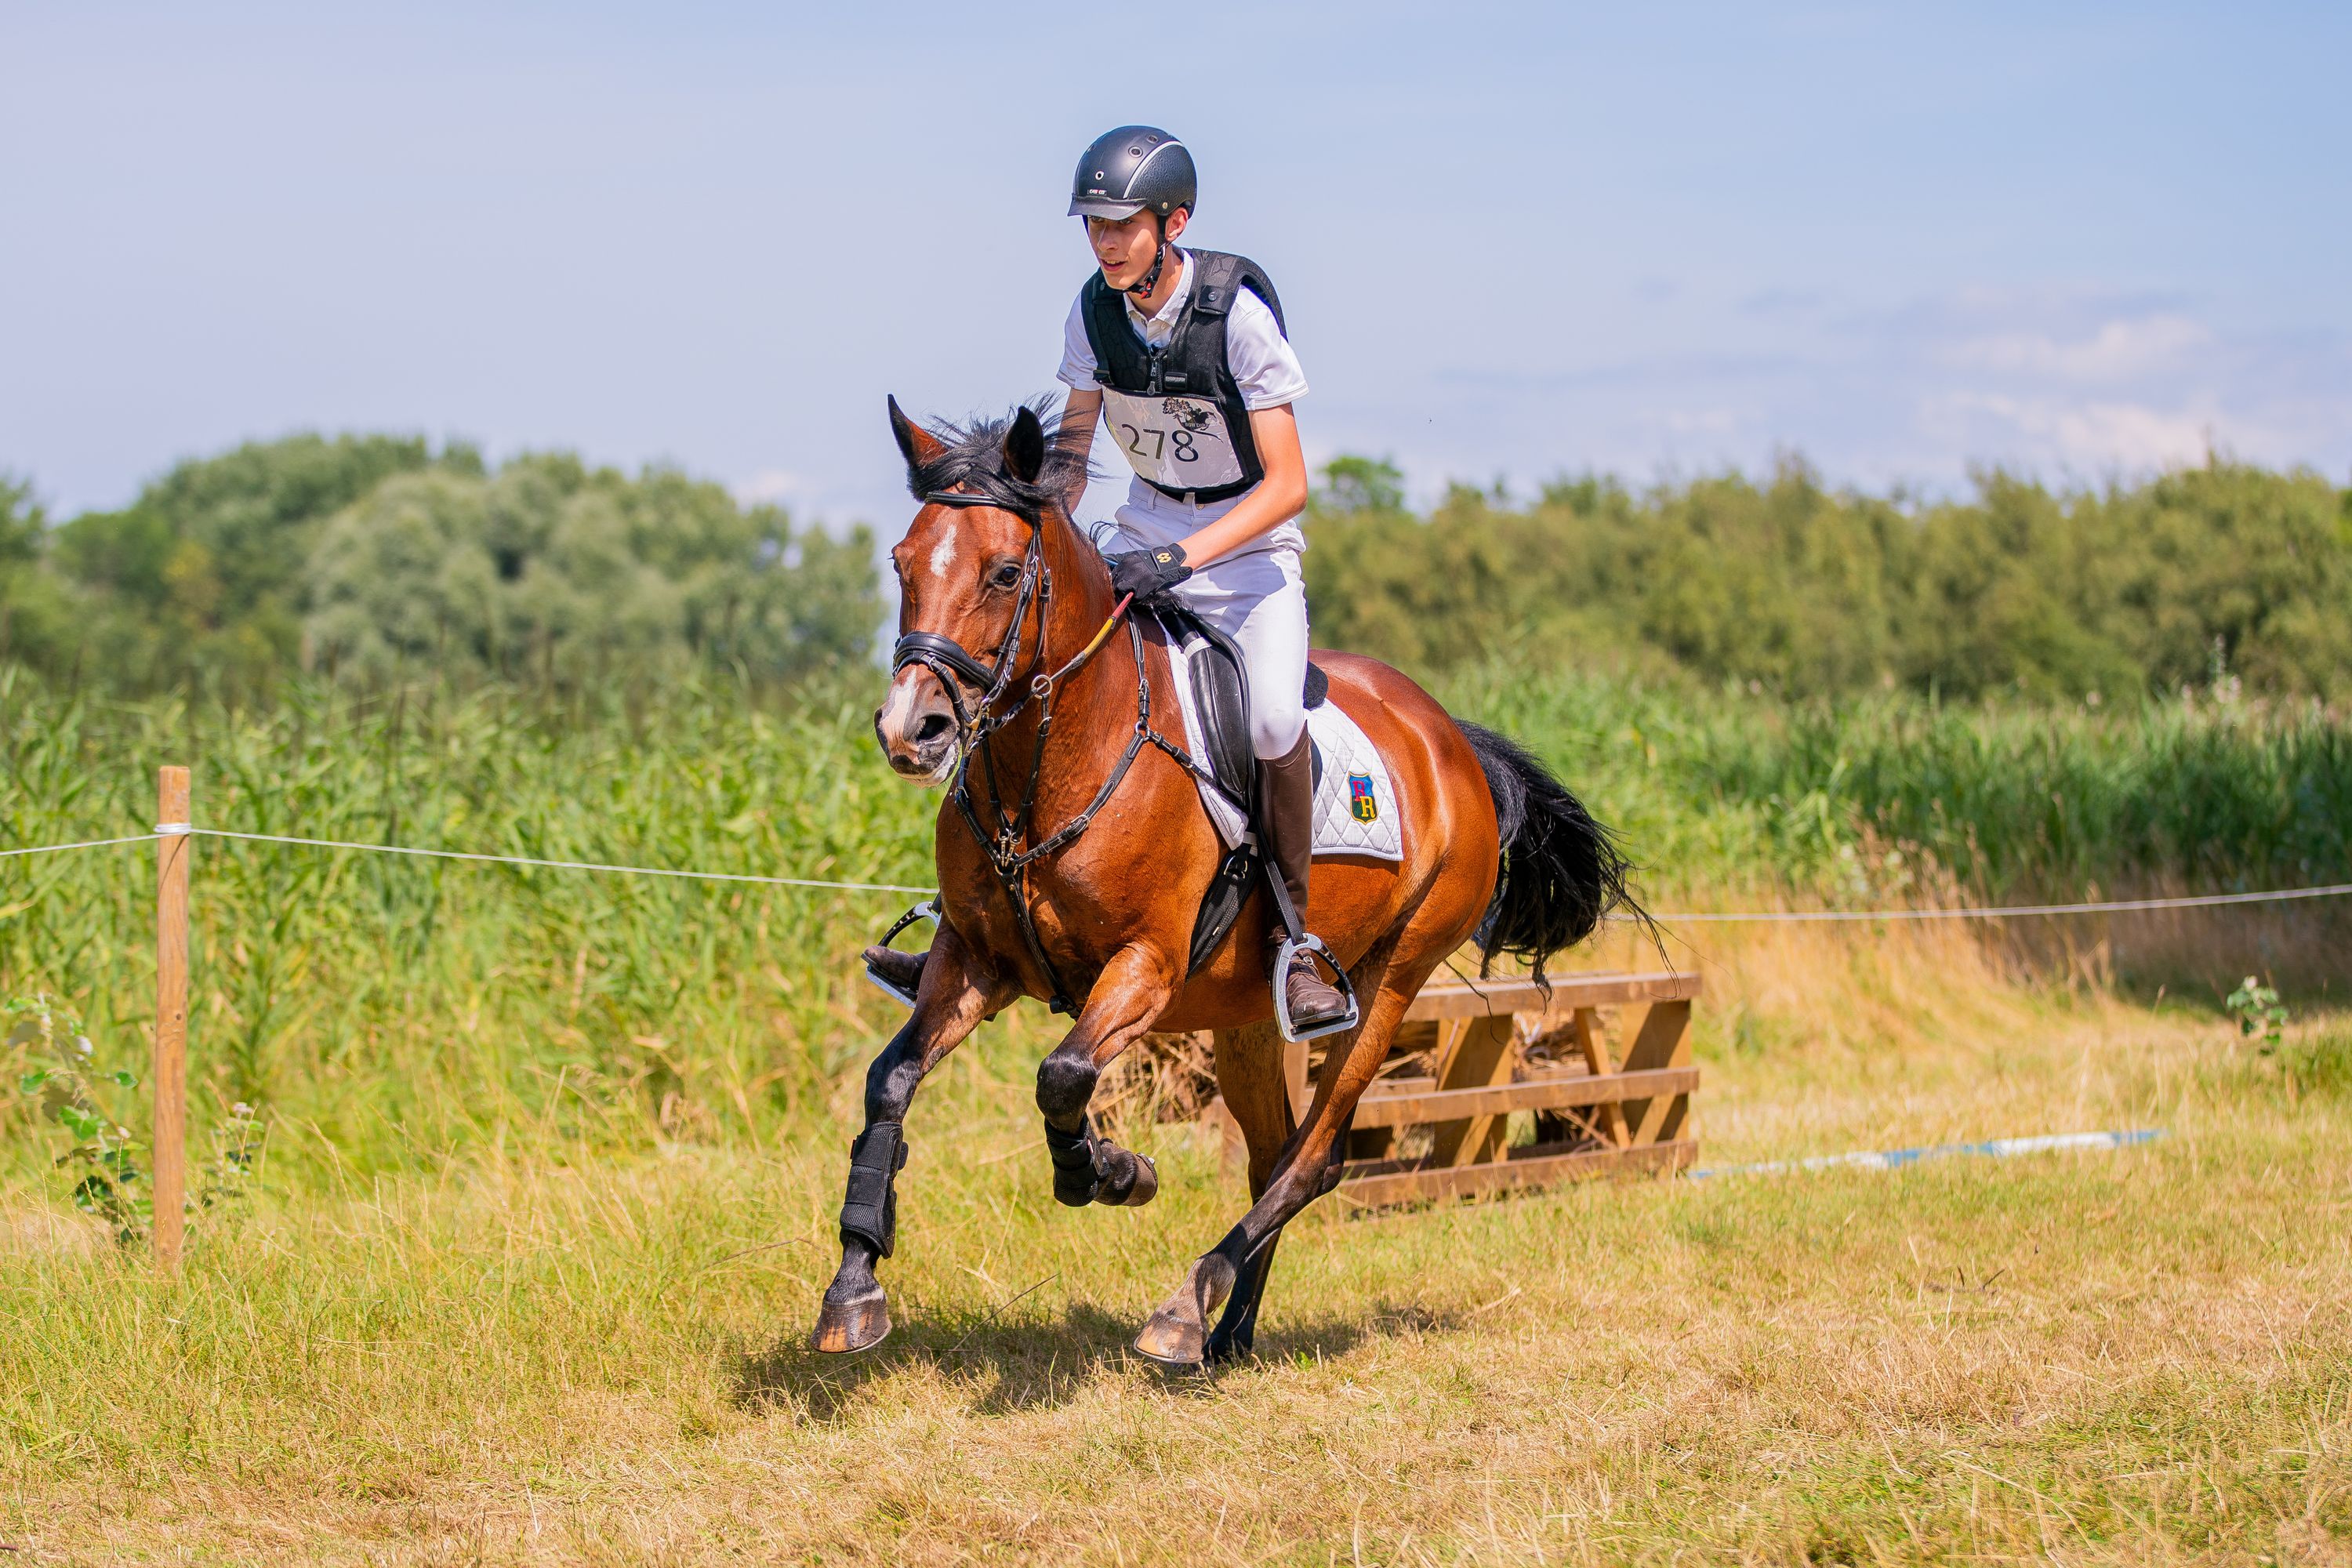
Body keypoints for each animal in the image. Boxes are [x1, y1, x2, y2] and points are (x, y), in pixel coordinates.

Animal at [813, 398, 1637, 1368]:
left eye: (1006, 573)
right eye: (902, 563)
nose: (913, 730)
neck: (1050, 763)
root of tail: (1450, 740)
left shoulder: (1145, 964)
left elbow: (1062, 1075)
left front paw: (1113, 1170)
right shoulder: (977, 960)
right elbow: (890, 1080)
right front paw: (854, 1286)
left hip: (1392, 978)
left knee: (1314, 1156)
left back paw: (1185, 1307)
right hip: (1244, 1014)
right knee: (1271, 1154)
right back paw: (1229, 1329)